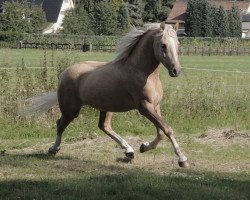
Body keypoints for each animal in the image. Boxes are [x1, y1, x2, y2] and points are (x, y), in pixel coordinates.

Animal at [22, 22, 188, 167]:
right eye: (163, 45)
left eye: (178, 44)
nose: (176, 71)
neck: (141, 71)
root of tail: (64, 73)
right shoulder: (144, 107)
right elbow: (167, 129)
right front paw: (182, 159)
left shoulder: (155, 105)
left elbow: (161, 131)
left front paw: (143, 146)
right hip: (71, 110)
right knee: (60, 124)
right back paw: (53, 149)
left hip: (106, 107)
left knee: (104, 126)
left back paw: (129, 151)